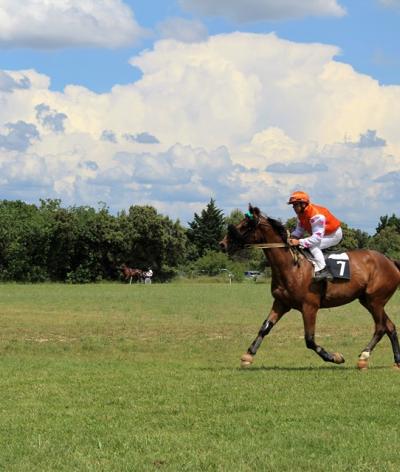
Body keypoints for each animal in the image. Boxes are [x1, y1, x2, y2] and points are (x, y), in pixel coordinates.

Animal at [219, 205, 400, 370]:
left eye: (244, 226)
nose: (222, 244)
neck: (292, 266)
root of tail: (390, 261)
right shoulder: (281, 303)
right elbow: (265, 327)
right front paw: (248, 355)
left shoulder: (309, 306)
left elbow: (310, 339)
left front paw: (335, 357)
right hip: (368, 300)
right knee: (390, 326)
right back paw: (396, 361)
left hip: (375, 300)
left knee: (380, 327)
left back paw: (364, 356)